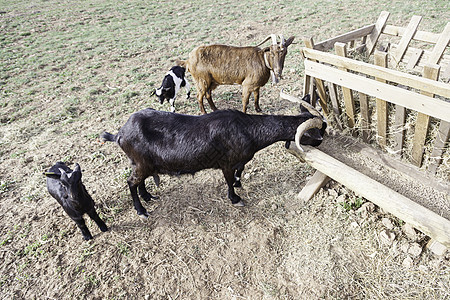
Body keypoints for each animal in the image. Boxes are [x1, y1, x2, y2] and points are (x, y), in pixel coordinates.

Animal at [101, 97, 326, 217]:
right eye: (317, 132)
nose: (323, 140)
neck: (247, 129)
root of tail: (120, 133)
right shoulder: (226, 163)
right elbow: (228, 179)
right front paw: (235, 198)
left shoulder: (239, 161)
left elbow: (239, 171)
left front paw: (238, 183)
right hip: (141, 163)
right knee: (131, 182)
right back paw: (141, 210)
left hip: (142, 164)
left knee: (139, 182)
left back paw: (148, 197)